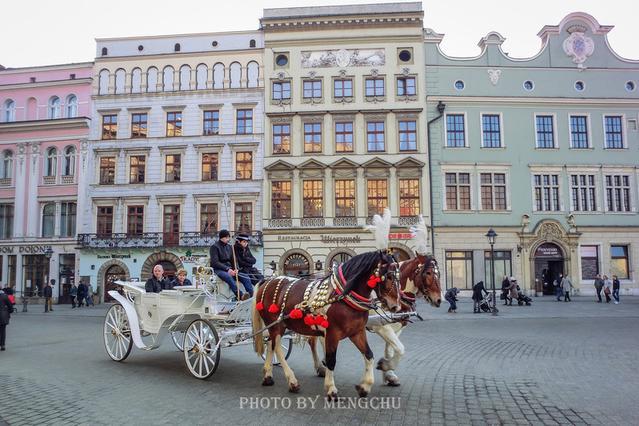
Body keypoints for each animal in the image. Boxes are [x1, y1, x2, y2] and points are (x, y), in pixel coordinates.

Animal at [254, 250, 400, 400]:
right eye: (389, 276)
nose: (396, 306)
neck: (342, 296)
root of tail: (268, 281)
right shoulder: (332, 334)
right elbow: (331, 360)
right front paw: (331, 388)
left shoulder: (357, 332)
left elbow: (369, 355)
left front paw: (365, 386)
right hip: (276, 325)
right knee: (277, 348)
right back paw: (292, 381)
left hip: (275, 326)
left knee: (270, 344)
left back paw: (268, 376)